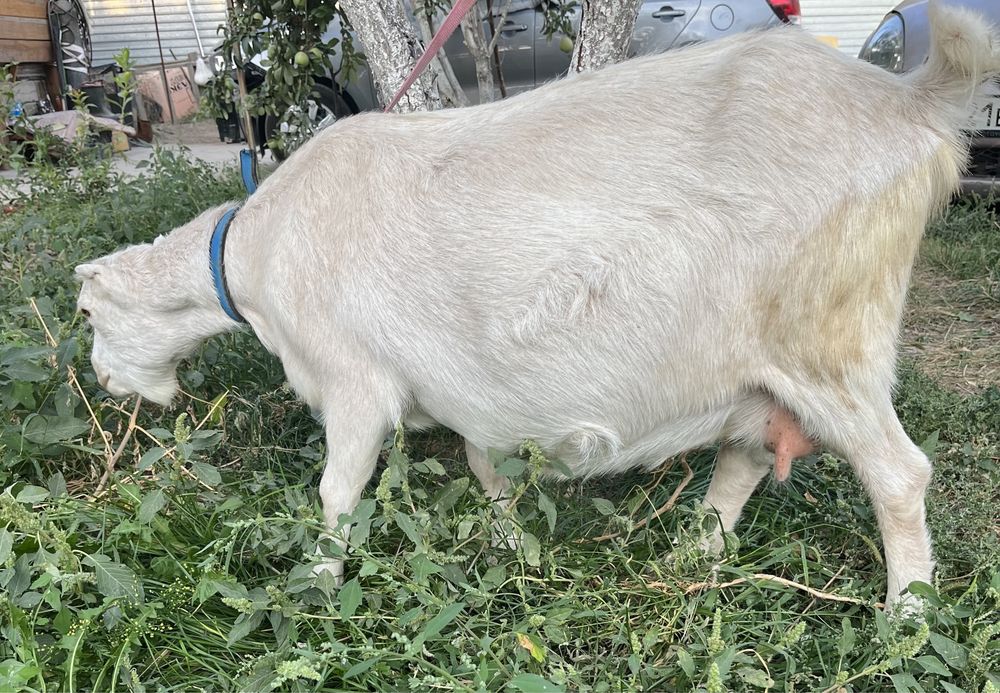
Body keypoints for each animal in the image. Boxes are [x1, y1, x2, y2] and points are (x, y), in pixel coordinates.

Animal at [75, 3, 1000, 609]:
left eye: (87, 315)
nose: (105, 384)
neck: (258, 248)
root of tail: (910, 104)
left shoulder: (353, 378)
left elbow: (338, 491)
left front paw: (320, 583)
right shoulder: (460, 396)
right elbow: (487, 471)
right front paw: (516, 550)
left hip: (832, 340)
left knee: (899, 474)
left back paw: (908, 617)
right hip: (758, 366)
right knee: (741, 459)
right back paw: (694, 554)